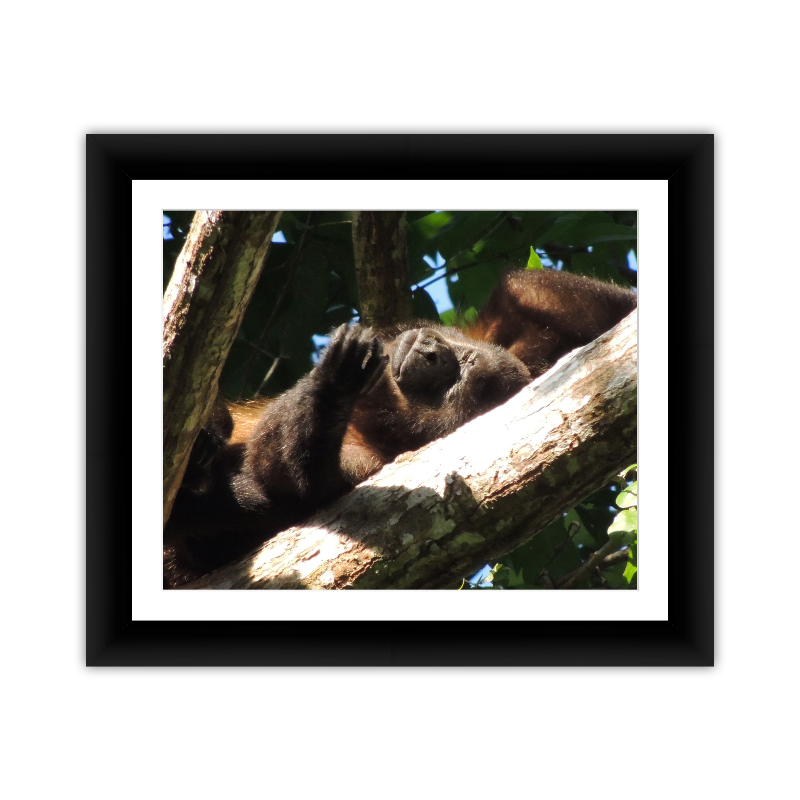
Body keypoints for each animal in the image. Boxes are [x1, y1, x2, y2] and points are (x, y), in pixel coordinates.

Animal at [163, 268, 636, 588]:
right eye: (462, 362)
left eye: (453, 385)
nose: (432, 353)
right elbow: (526, 290)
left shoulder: (370, 462)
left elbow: (278, 475)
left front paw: (336, 385)